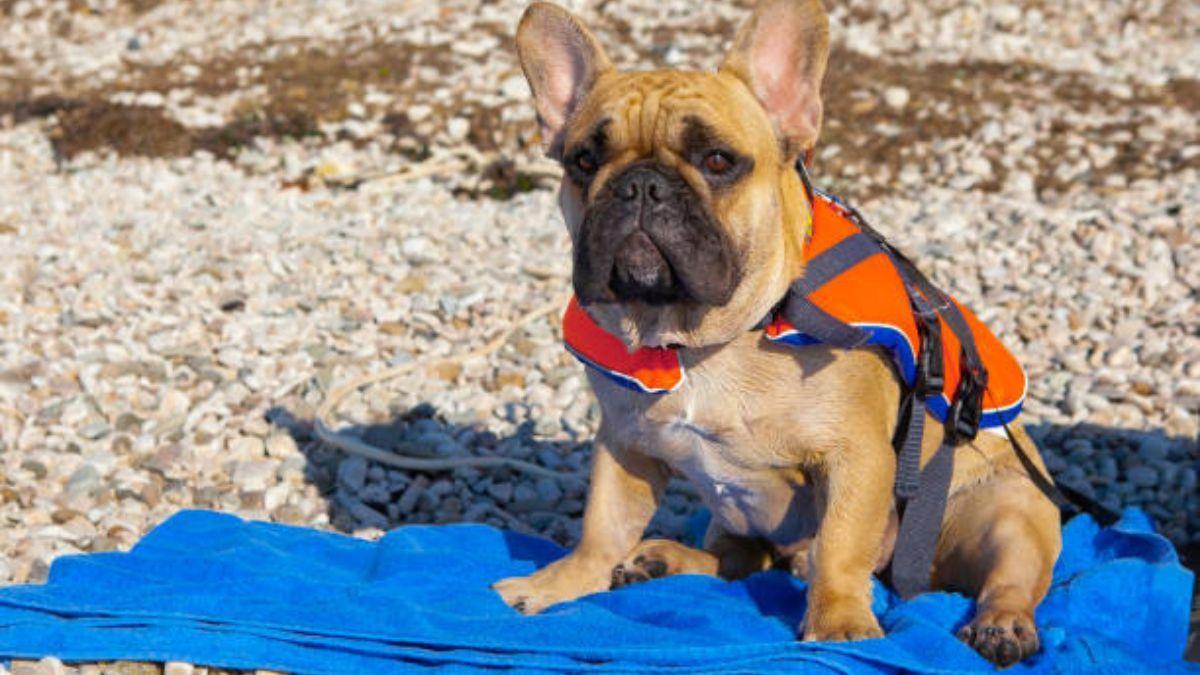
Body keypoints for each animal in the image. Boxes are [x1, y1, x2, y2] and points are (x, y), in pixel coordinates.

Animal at [492, 0, 1065, 662]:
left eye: (718, 161)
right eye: (584, 162)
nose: (639, 184)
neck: (706, 338)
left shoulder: (856, 456)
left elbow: (841, 546)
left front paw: (839, 621)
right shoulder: (623, 441)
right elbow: (601, 528)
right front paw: (555, 585)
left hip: (1003, 508)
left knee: (1007, 573)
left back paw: (1002, 623)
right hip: (737, 514)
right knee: (738, 559)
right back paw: (664, 559)